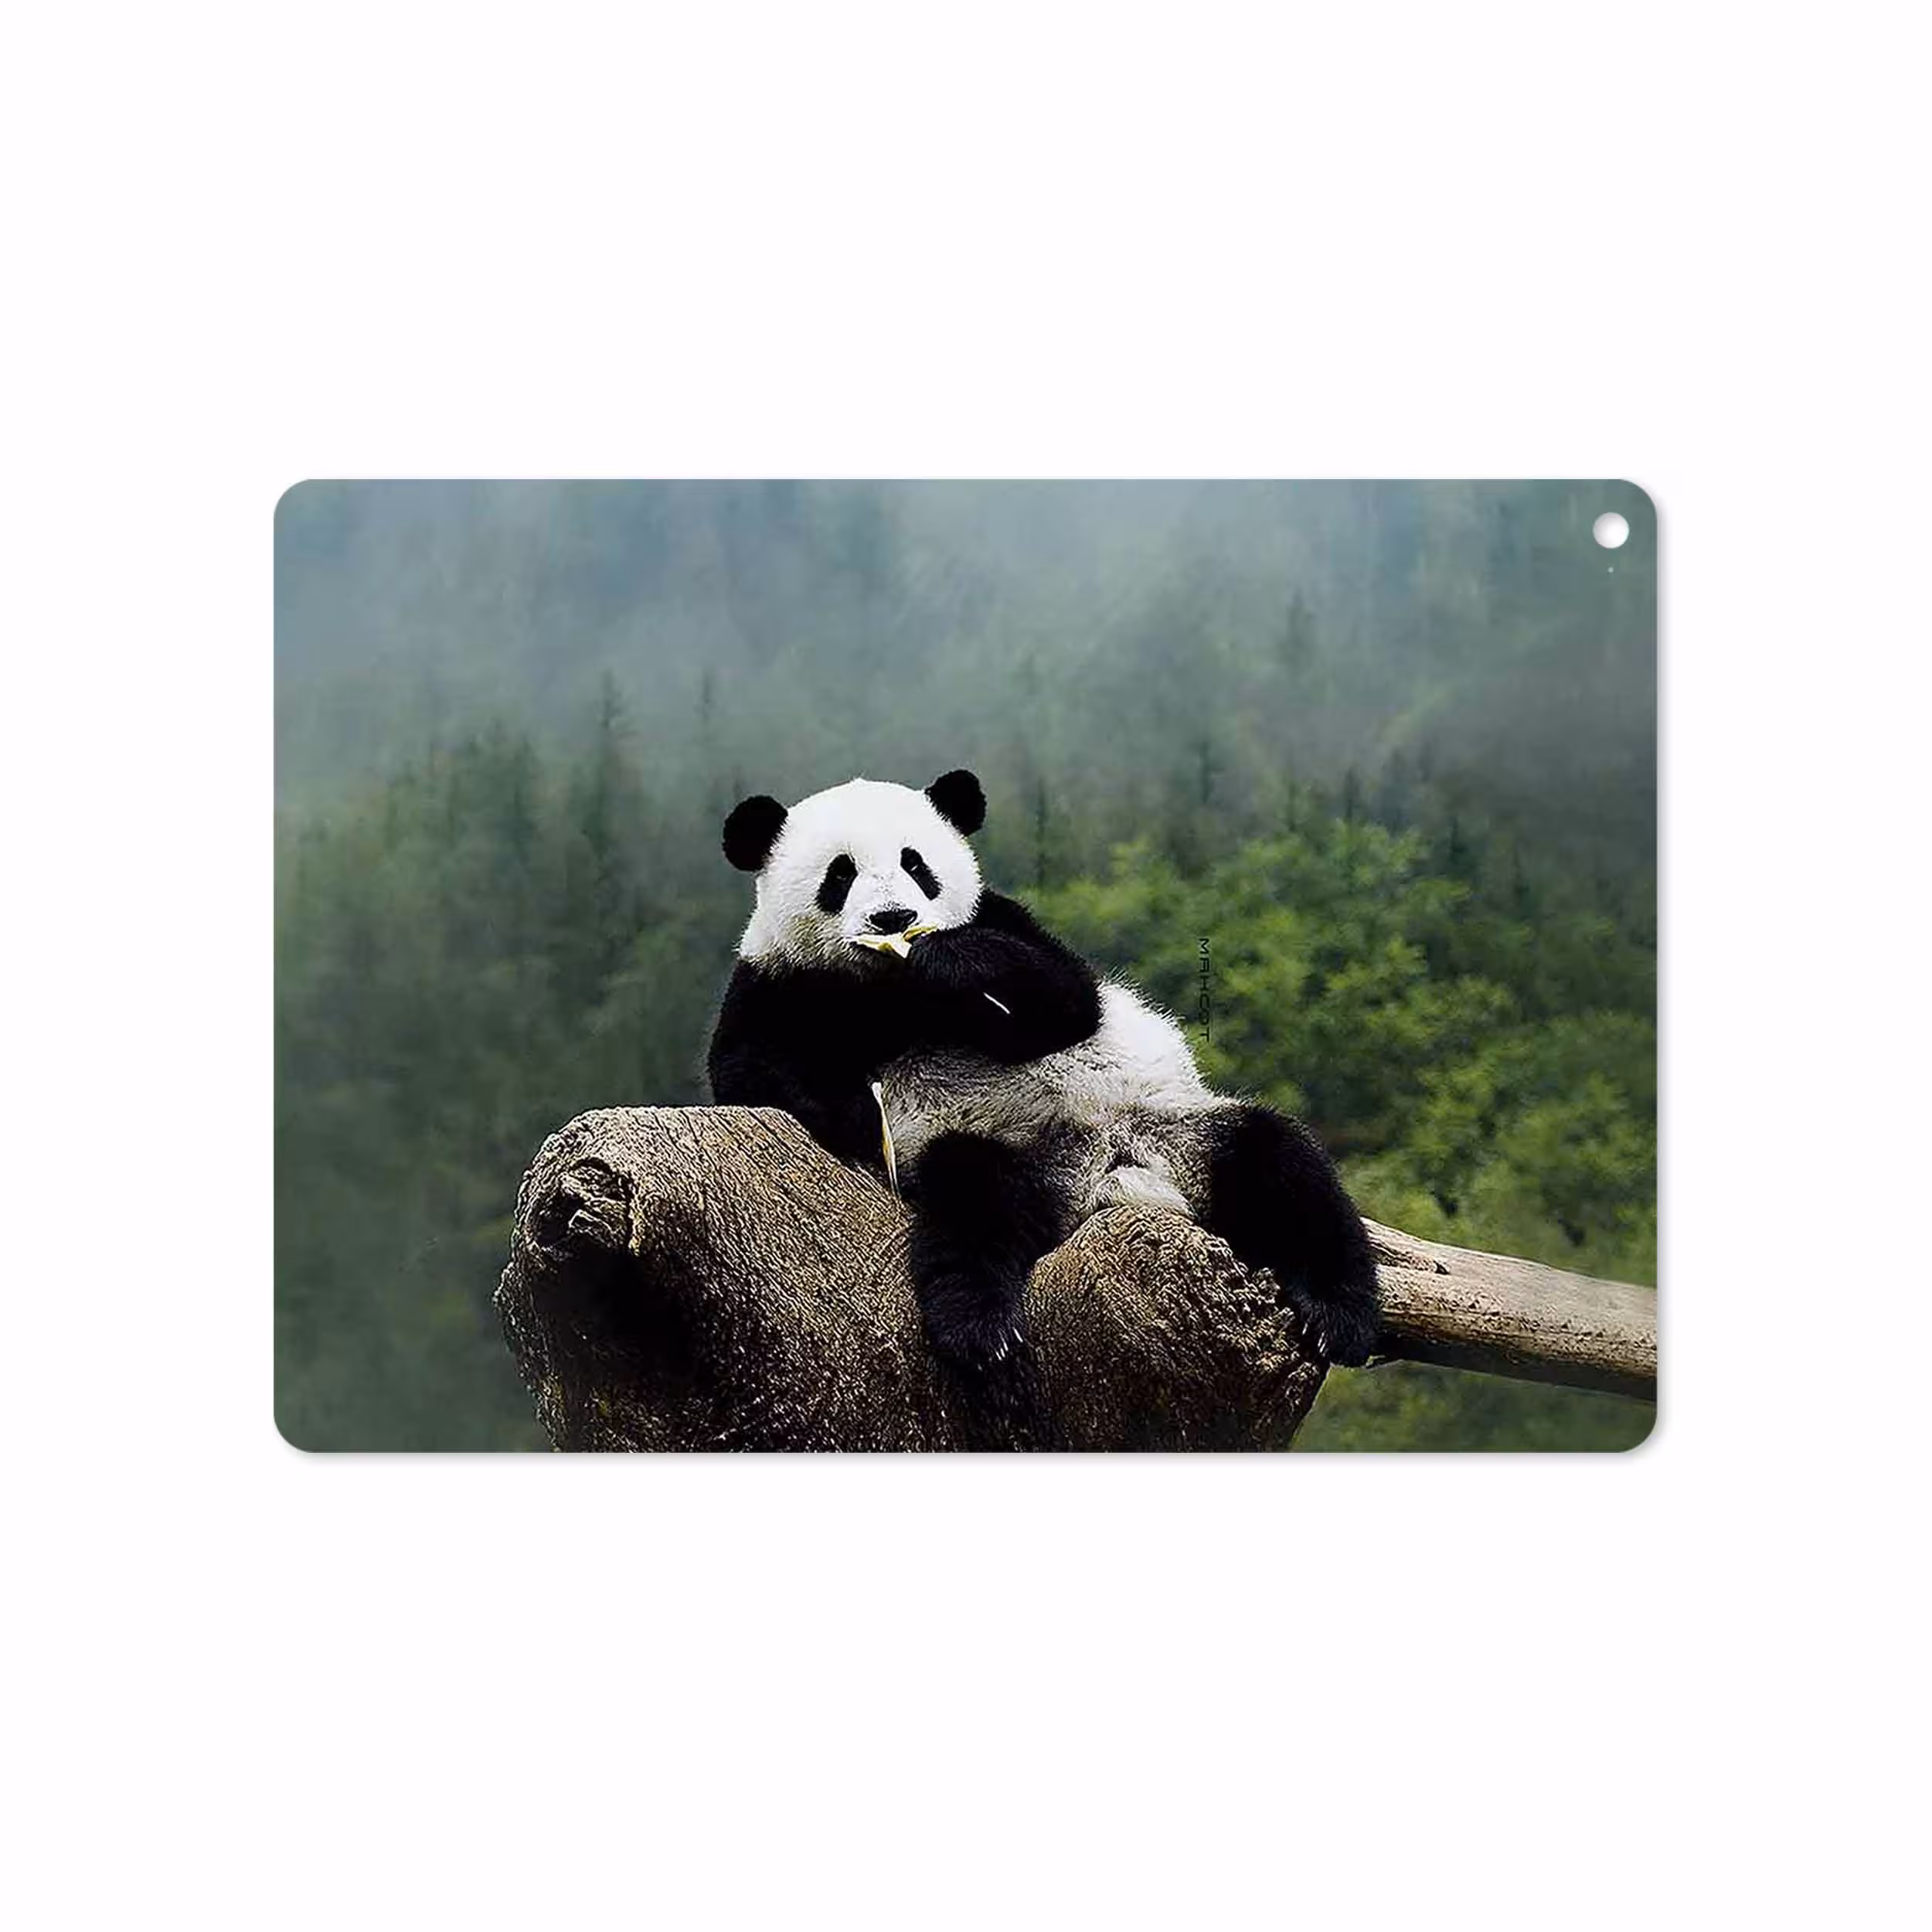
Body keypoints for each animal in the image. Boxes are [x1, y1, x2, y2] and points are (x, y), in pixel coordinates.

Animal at [706, 768, 1381, 1372]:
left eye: (916, 865)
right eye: (840, 874)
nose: (894, 919)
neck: (889, 988)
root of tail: (1107, 1177)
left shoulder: (1002, 920)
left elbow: (1068, 1000)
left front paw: (950, 960)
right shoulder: (777, 982)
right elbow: (748, 1071)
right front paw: (855, 1113)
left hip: (1179, 1129)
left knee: (1283, 1166)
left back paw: (1339, 1317)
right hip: (998, 1149)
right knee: (974, 1204)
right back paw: (979, 1328)